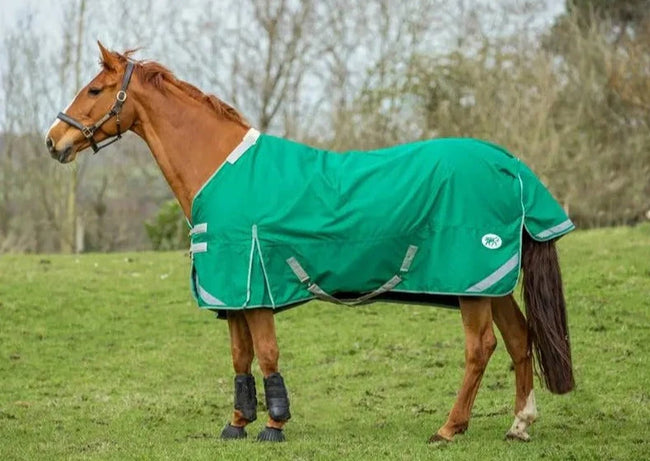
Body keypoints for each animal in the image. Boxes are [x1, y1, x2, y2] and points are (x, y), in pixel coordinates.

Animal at [45, 43, 574, 443]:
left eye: (95, 90)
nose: (53, 141)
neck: (220, 168)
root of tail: (508, 164)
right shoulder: (233, 295)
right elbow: (240, 357)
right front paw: (237, 424)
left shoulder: (254, 285)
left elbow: (267, 353)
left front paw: (274, 426)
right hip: (490, 283)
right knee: (519, 339)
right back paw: (519, 425)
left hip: (470, 284)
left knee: (481, 347)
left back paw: (449, 428)